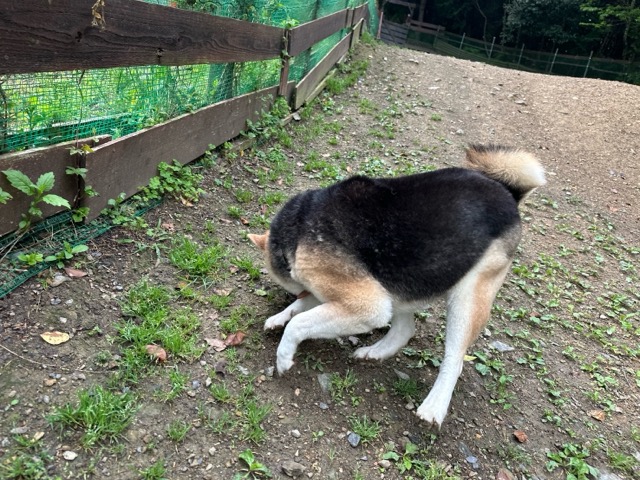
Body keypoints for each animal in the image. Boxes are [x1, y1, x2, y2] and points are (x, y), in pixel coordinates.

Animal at [248, 144, 546, 427]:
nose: (297, 290)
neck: (298, 229)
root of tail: (508, 192)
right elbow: (302, 308)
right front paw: (280, 316)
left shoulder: (366, 303)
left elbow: (299, 323)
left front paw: (284, 354)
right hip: (401, 285)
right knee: (405, 329)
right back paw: (377, 351)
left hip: (468, 298)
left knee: (454, 359)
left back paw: (434, 406)